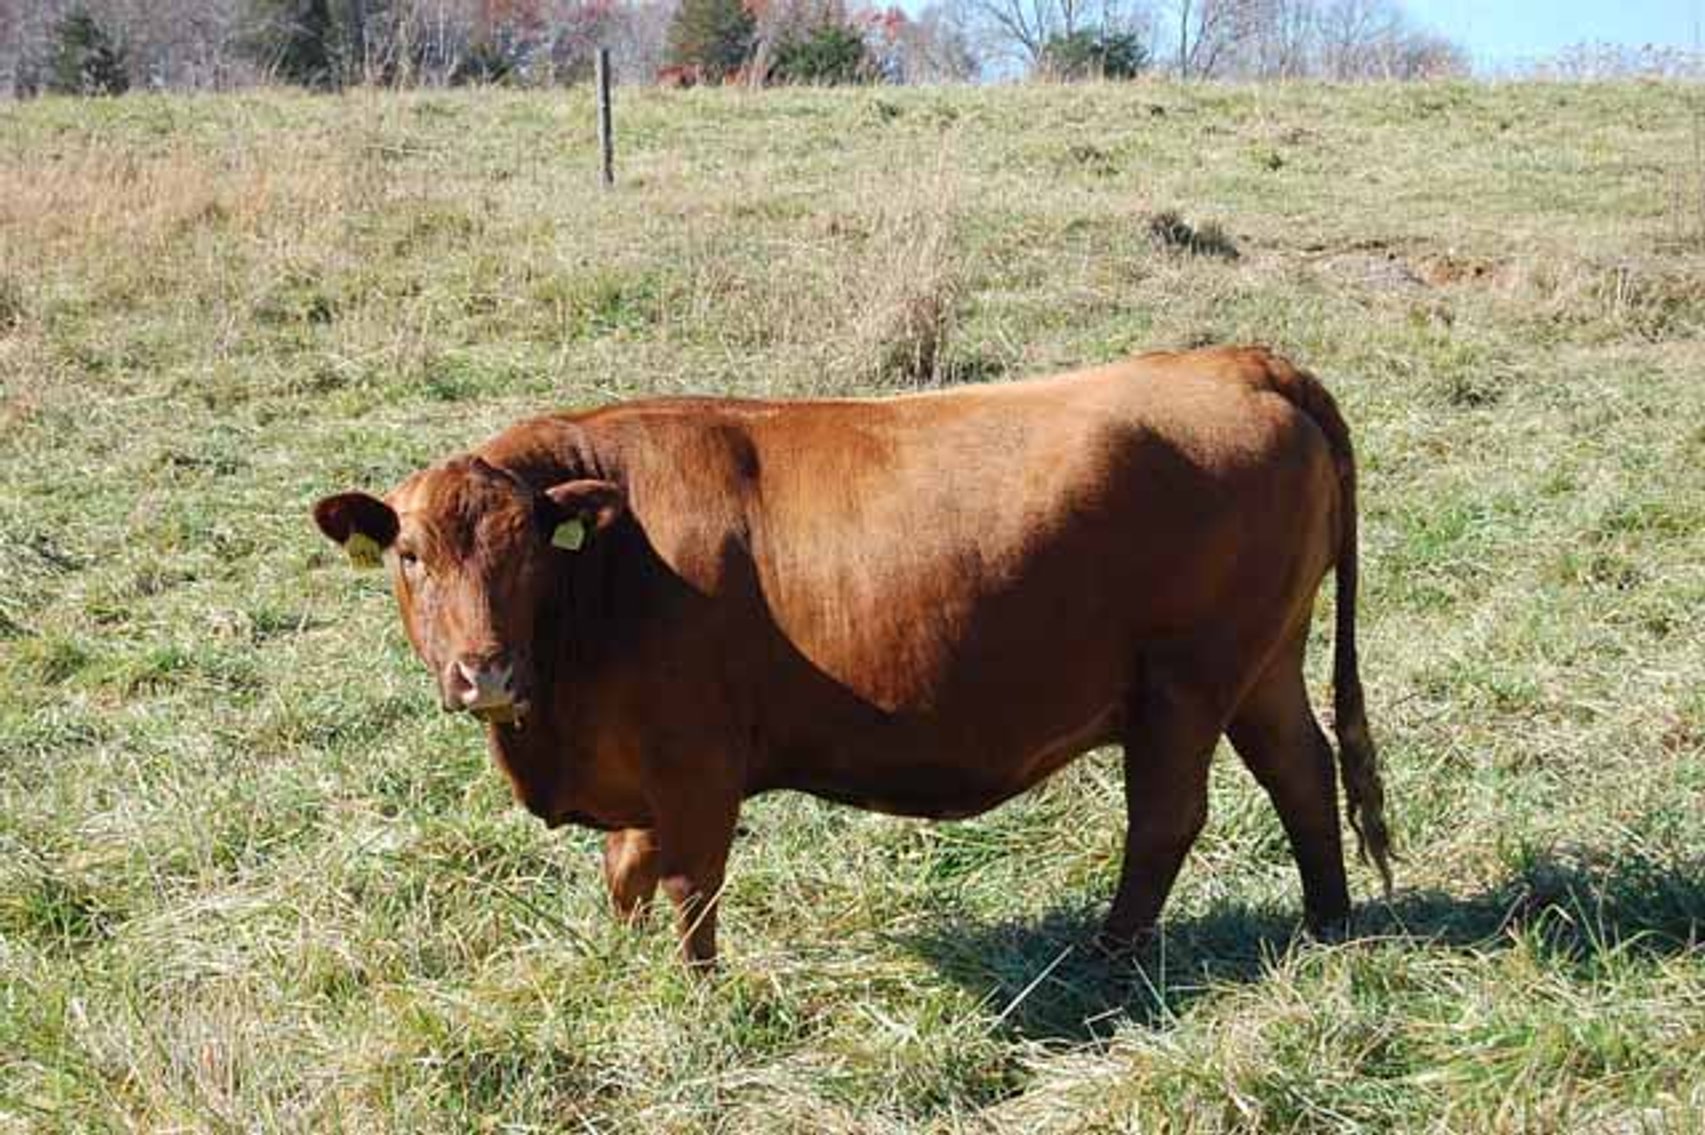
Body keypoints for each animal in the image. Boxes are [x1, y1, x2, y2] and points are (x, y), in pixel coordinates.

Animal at [312, 346, 1394, 967]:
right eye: (410, 554)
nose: (485, 672)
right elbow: (626, 873)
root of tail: (1232, 359)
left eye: (530, 551)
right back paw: (1327, 923)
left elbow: (688, 884)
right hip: (1260, 665)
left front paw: (696, 997)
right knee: (1302, 769)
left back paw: (1105, 960)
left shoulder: (695, 765)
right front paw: (620, 971)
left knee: (1167, 816)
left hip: (1185, 680)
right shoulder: (640, 775)